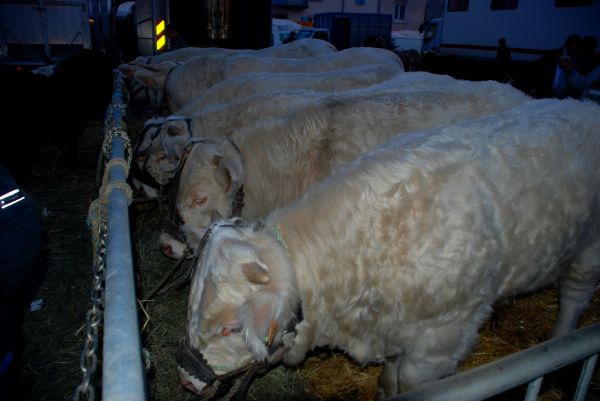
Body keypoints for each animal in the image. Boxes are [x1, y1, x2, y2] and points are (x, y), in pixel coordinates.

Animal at [177, 97, 600, 396]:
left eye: (232, 328)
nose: (184, 378)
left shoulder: (442, 339)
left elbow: (408, 382)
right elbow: (390, 378)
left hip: (589, 251)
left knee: (575, 295)